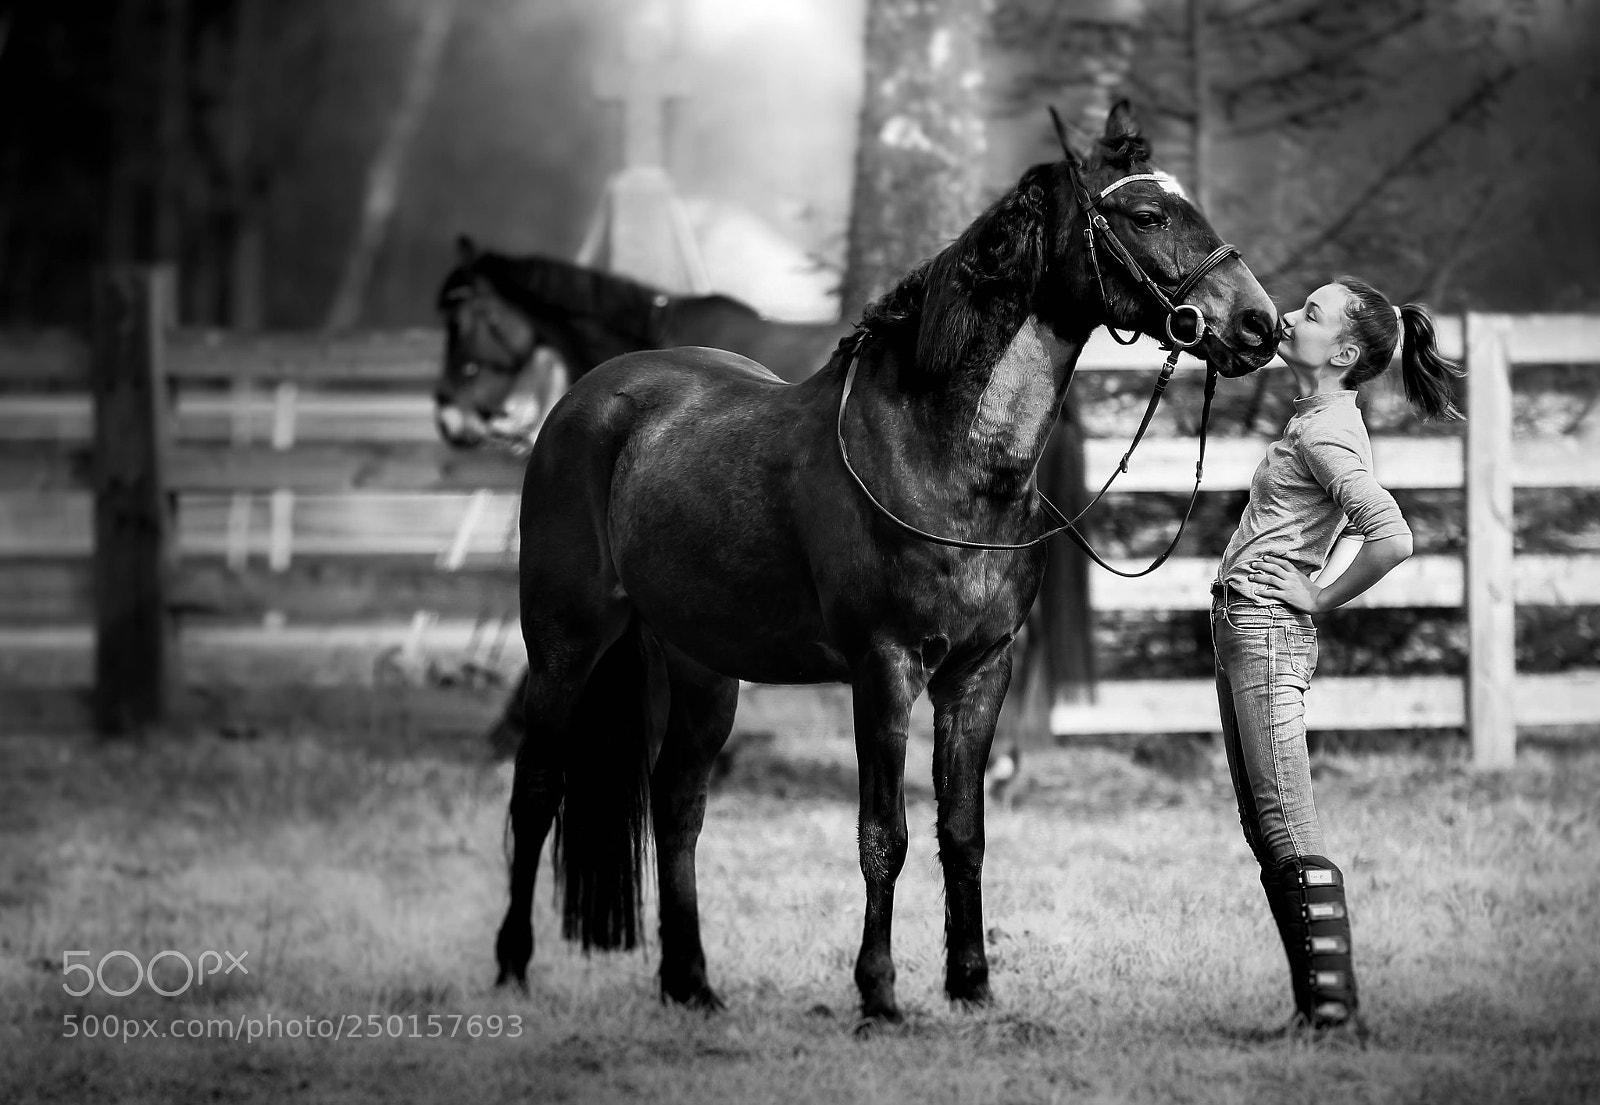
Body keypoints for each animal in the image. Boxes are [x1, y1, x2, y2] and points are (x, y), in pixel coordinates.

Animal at [492, 101, 1278, 1028]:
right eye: (1148, 215)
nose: (1260, 324)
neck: (942, 458)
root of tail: (587, 399)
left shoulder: (980, 670)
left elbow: (963, 831)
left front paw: (971, 981)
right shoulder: (884, 668)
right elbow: (884, 835)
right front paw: (878, 991)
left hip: (702, 666)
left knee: (677, 803)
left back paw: (690, 981)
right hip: (566, 644)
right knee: (537, 790)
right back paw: (513, 966)